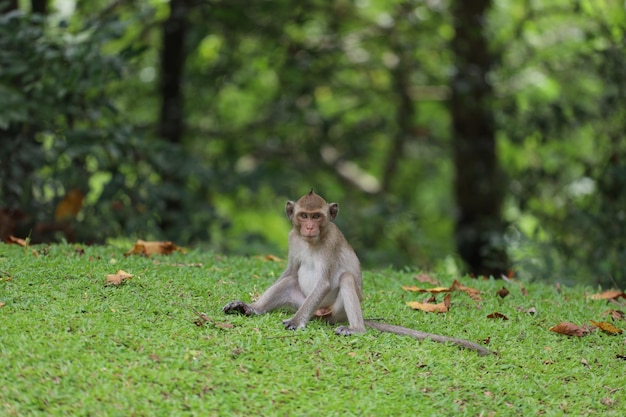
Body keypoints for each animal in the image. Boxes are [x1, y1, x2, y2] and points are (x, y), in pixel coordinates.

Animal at [224, 190, 492, 356]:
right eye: (304, 216)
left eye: (316, 216)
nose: (309, 227)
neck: (312, 241)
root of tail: (323, 315)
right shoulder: (293, 239)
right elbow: (289, 271)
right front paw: (251, 304)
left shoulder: (331, 243)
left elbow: (324, 282)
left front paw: (296, 321)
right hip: (303, 301)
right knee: (291, 280)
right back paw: (252, 309)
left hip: (334, 311)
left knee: (345, 279)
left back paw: (355, 329)